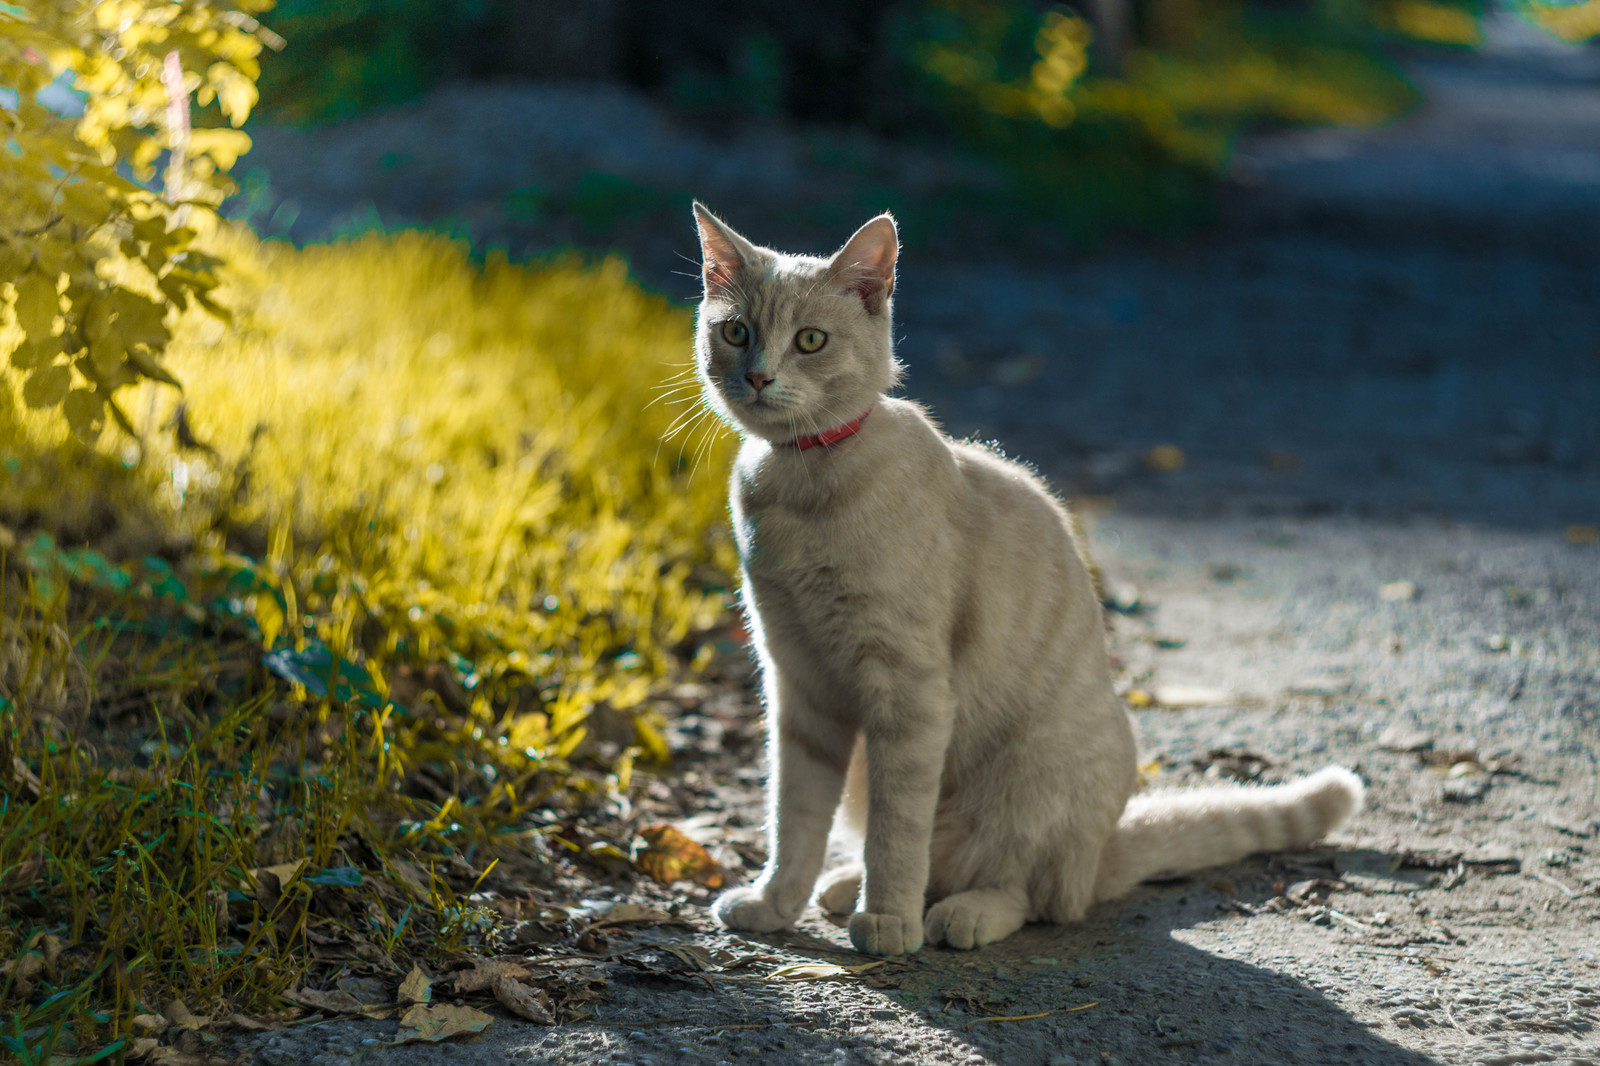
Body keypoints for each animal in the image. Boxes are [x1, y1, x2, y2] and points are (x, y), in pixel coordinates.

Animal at [688, 203, 1363, 947]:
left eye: (810, 341)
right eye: (737, 332)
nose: (757, 376)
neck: (802, 485)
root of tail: (1102, 850)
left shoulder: (908, 696)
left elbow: (898, 830)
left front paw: (888, 918)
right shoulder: (799, 688)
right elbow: (795, 818)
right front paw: (776, 904)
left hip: (1027, 781)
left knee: (1025, 891)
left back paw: (955, 913)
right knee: (949, 863)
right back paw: (843, 887)